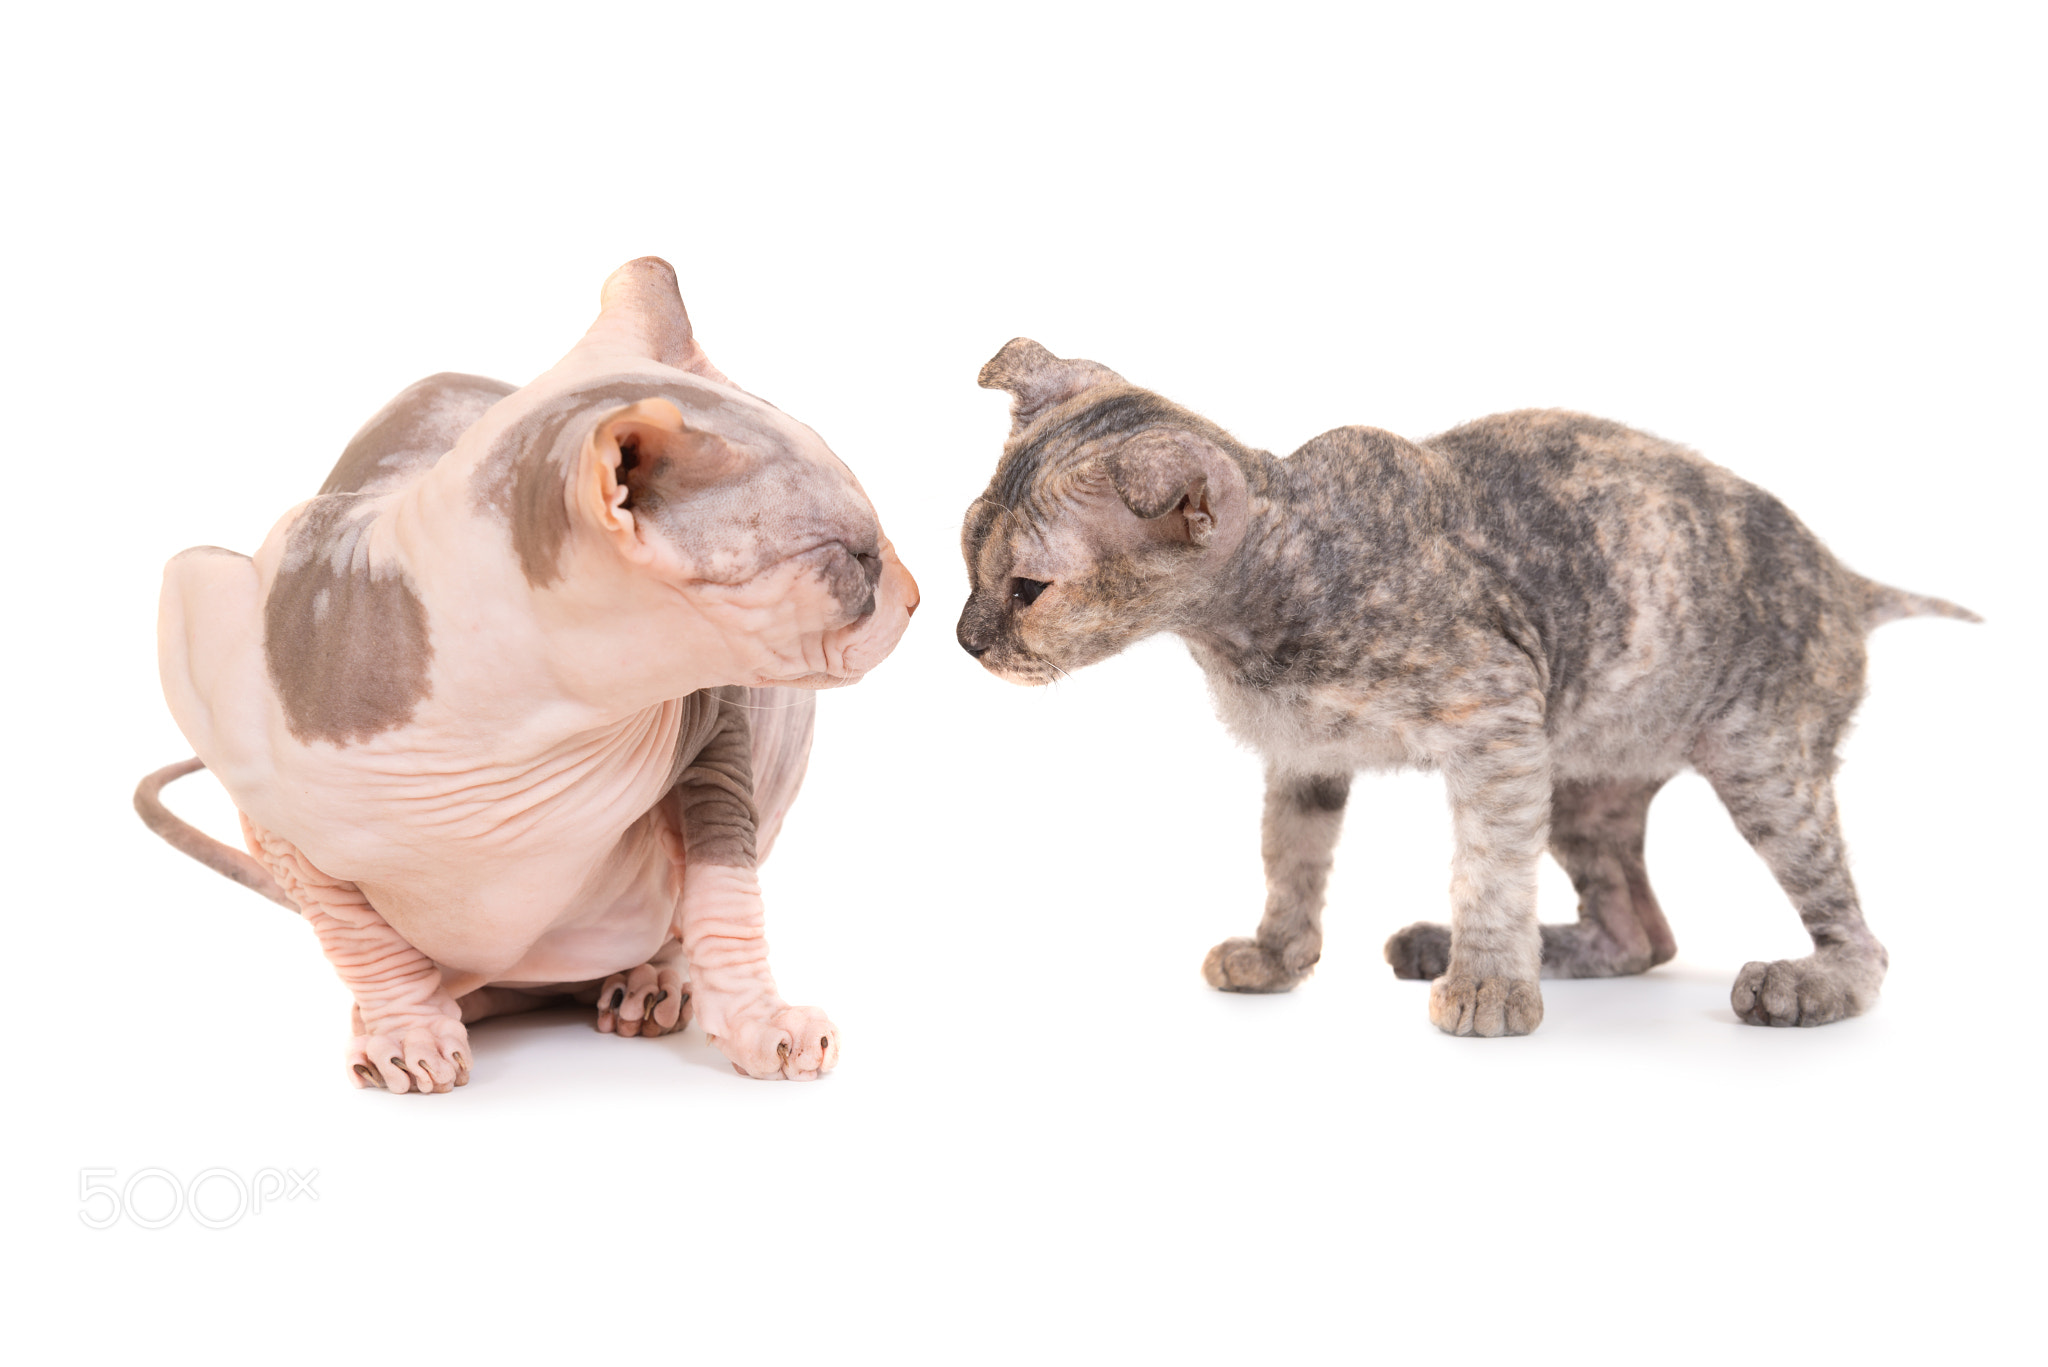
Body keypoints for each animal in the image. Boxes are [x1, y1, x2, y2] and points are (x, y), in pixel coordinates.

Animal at [138, 256, 921, 1090]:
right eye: (855, 558)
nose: (917, 595)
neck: (496, 734)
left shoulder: (717, 720)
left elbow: (723, 891)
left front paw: (760, 1021)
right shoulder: (238, 730)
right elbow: (355, 935)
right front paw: (406, 1031)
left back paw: (647, 983)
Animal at [950, 342, 1974, 1037]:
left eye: (1030, 589)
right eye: (966, 549)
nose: (965, 639)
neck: (1246, 629)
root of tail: (1846, 578)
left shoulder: (1498, 722)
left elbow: (1487, 866)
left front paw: (1488, 986)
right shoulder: (1305, 757)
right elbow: (1292, 861)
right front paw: (1278, 958)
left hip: (1761, 764)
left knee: (1860, 937)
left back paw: (1804, 982)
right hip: (1582, 786)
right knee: (1642, 931)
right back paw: (1479, 945)